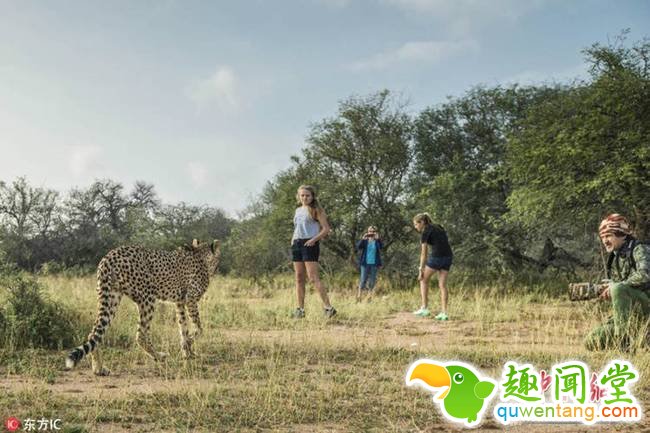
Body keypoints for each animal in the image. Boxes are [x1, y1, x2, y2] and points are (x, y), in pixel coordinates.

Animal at [65, 236, 220, 374]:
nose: (218, 266)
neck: (201, 255)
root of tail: (110, 255)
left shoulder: (180, 302)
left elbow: (183, 329)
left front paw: (188, 353)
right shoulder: (190, 299)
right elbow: (198, 329)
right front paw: (188, 347)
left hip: (111, 297)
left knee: (94, 333)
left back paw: (99, 369)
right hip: (148, 298)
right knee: (141, 334)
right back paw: (159, 356)